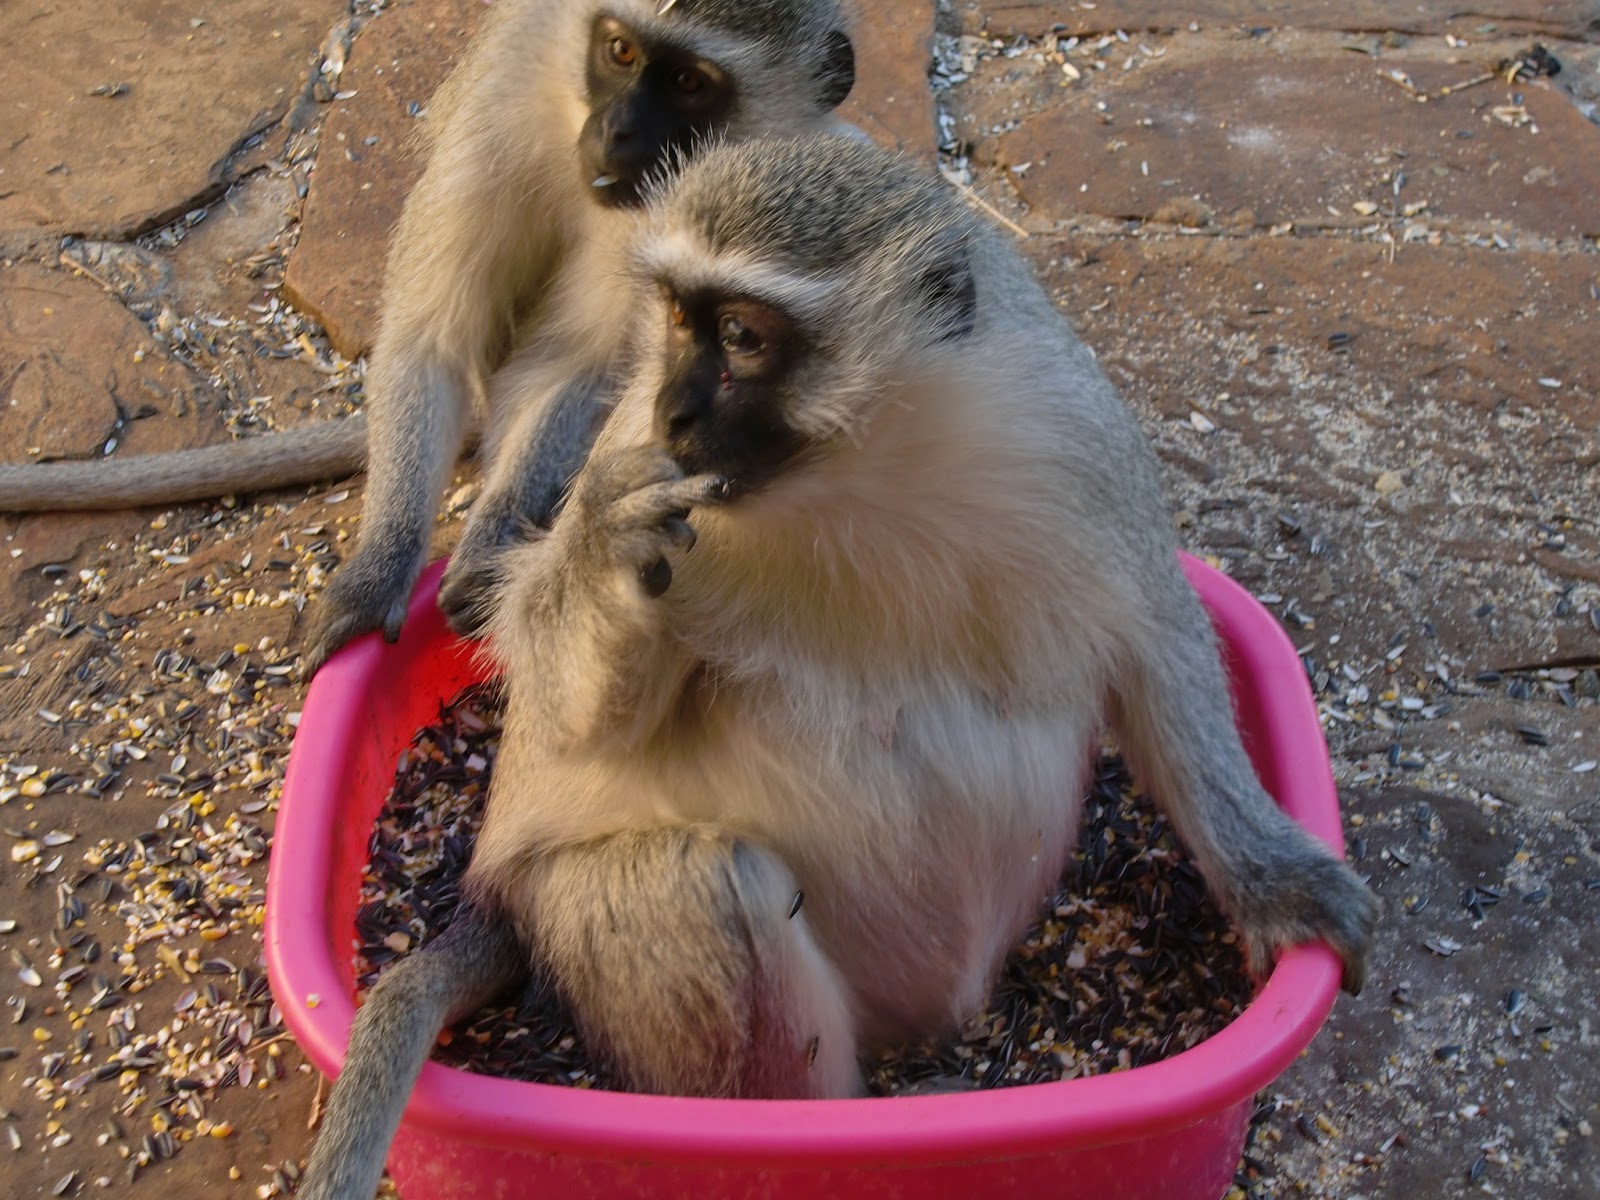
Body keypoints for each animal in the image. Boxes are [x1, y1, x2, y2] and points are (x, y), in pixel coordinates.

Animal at [0, 0, 858, 675]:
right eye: (621, 52)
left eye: (688, 84)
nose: (616, 134)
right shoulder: (499, 103)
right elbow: (431, 338)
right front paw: (381, 567)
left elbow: (589, 369)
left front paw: (491, 549)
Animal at [297, 131, 1378, 1200]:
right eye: (677, 320)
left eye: (741, 336)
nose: (675, 412)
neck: (859, 471)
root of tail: (491, 891)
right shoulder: (633, 452)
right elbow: (577, 724)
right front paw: (604, 545)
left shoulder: (1075, 440)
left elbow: (1156, 639)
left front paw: (1274, 881)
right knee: (699, 884)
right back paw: (856, 1125)